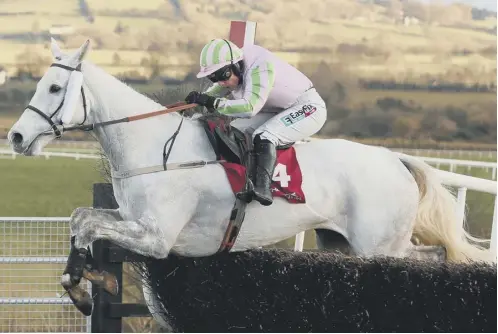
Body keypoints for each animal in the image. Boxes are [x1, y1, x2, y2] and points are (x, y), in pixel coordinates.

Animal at [5, 39, 492, 320]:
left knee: (424, 261)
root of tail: (397, 160)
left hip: (379, 245)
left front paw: (86, 284)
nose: (16, 137)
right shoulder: (131, 220)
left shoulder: (157, 238)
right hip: (343, 244)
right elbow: (81, 218)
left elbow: (89, 225)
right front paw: (82, 284)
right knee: (428, 255)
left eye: (53, 88)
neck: (155, 148)